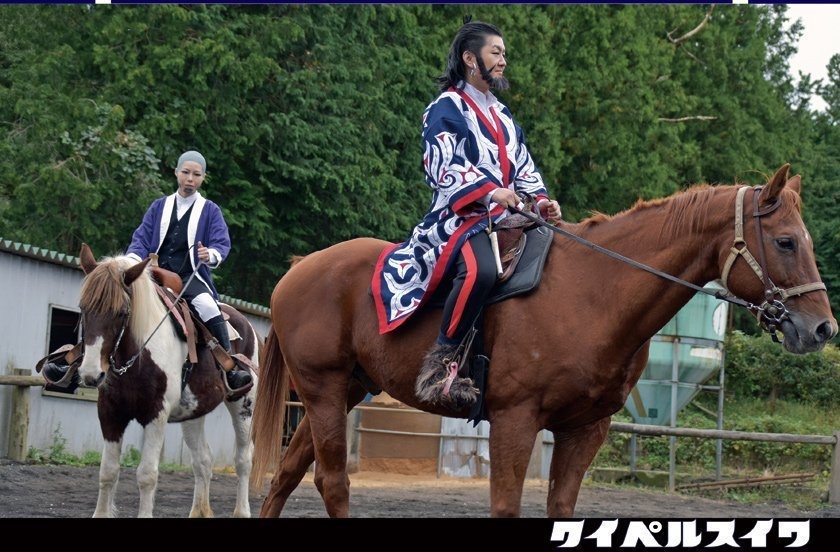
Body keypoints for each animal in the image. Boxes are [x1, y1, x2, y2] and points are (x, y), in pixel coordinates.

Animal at [75, 246, 260, 516]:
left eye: (121, 313)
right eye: (83, 308)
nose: (91, 373)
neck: (138, 356)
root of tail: (246, 323)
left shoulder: (156, 415)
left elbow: (147, 475)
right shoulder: (110, 414)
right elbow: (108, 472)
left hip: (242, 404)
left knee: (244, 459)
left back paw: (242, 511)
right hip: (194, 414)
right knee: (203, 461)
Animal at [248, 164, 832, 516]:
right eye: (785, 242)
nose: (822, 328)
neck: (594, 292)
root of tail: (300, 269)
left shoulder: (585, 430)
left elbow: (562, 510)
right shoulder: (515, 420)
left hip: (343, 389)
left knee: (287, 475)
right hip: (322, 390)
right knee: (333, 482)